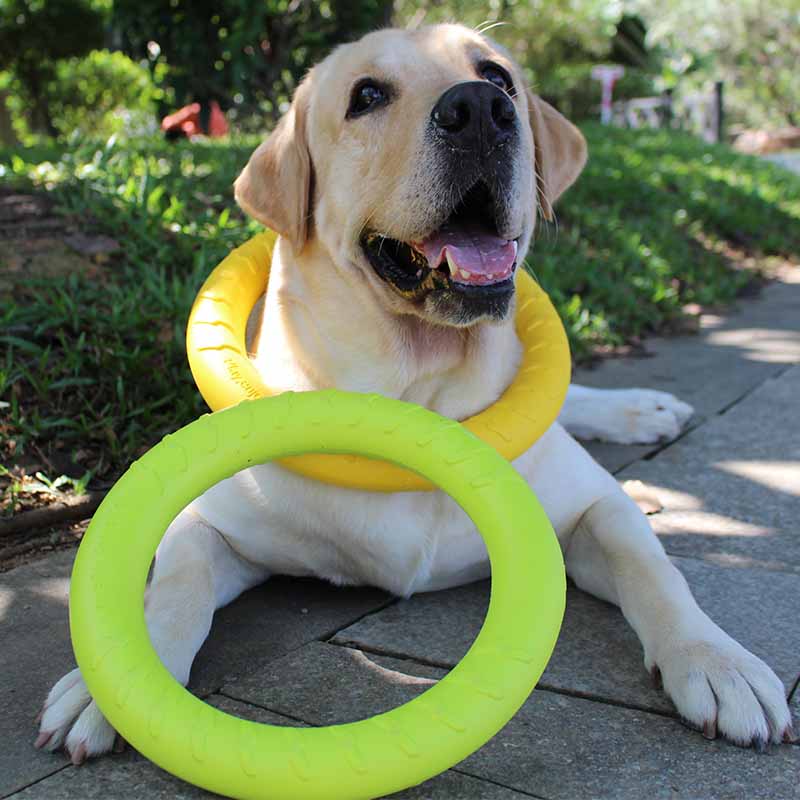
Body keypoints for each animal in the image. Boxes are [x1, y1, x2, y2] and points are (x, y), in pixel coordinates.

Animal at [36, 25, 788, 764]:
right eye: (366, 95)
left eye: (498, 74)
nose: (482, 110)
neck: (419, 395)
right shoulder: (210, 525)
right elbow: (174, 590)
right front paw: (113, 685)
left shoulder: (593, 510)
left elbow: (655, 570)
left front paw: (717, 661)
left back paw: (642, 412)